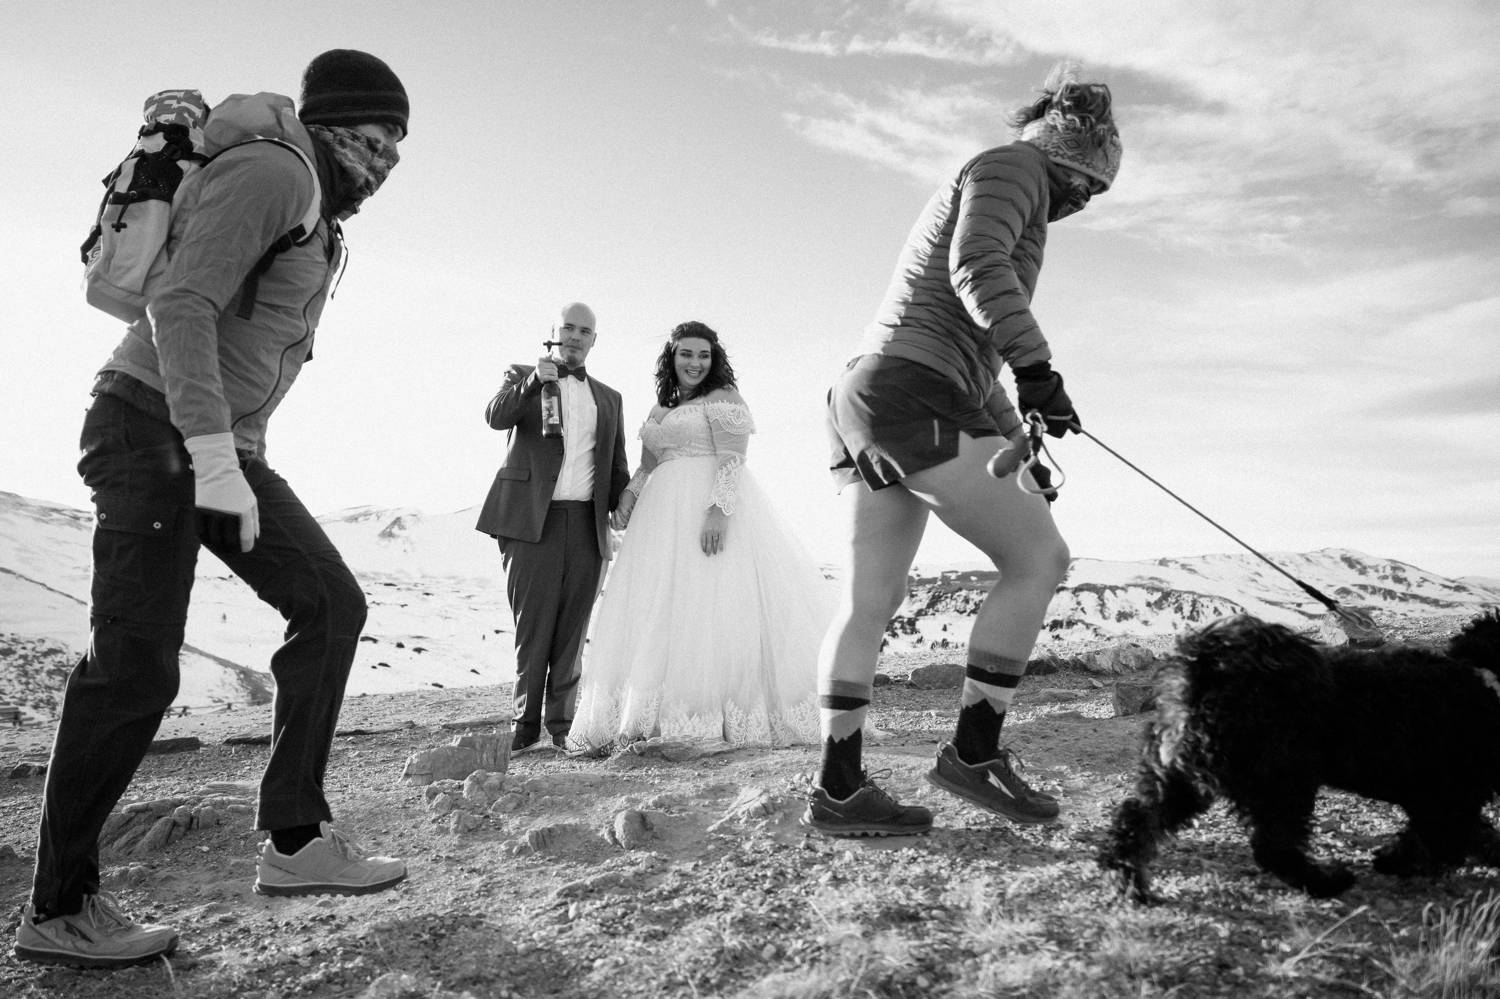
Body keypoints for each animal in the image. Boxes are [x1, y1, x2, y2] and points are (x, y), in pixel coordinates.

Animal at [1098, 606, 1500, 900]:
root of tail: (1207, 672)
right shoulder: (1451, 792)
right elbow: (1438, 836)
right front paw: (1402, 862)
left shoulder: (1442, 794)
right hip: (1281, 778)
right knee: (1273, 847)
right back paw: (1327, 882)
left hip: (1180, 774)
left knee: (1137, 819)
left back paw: (1128, 881)